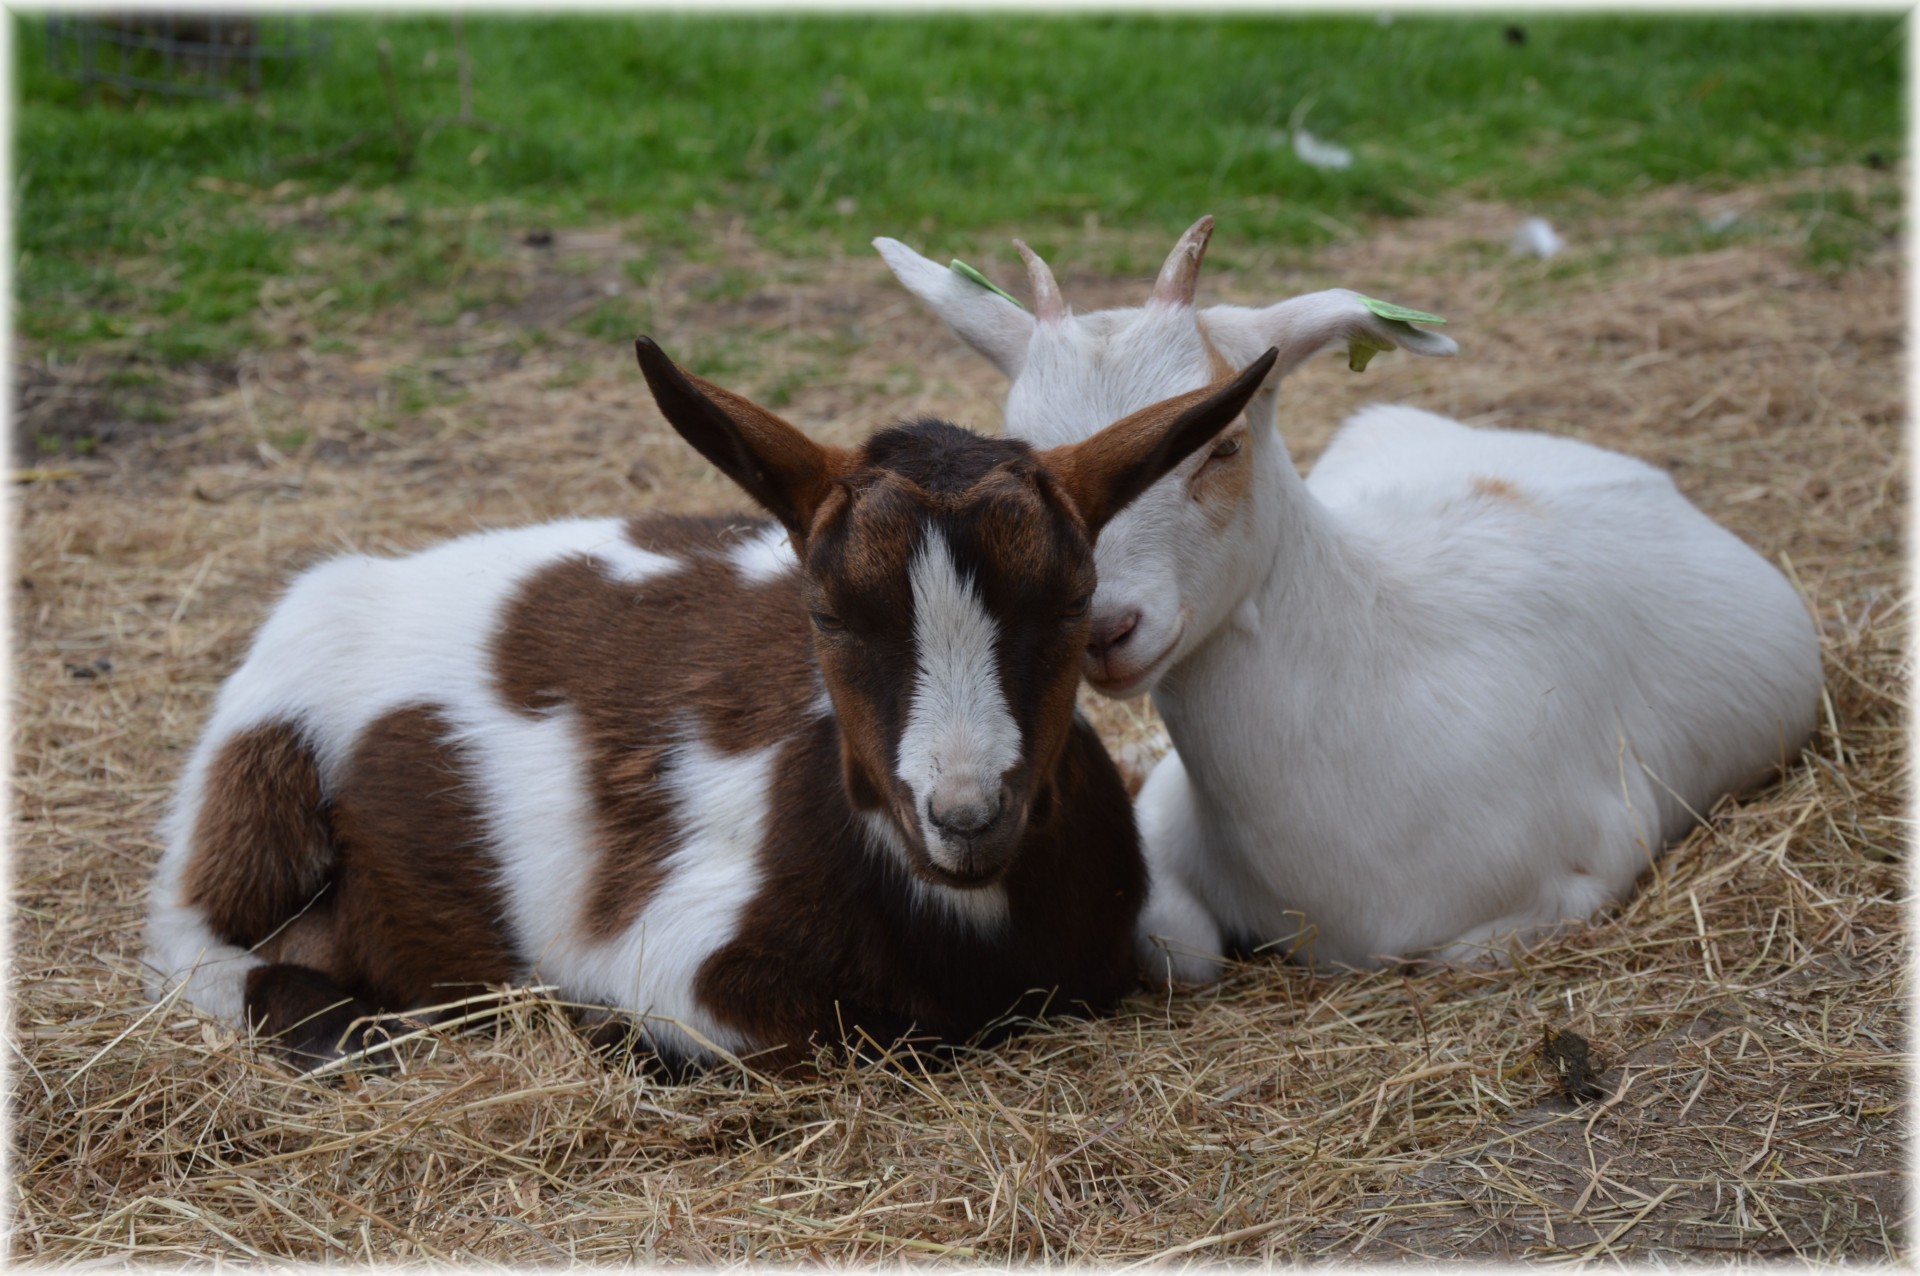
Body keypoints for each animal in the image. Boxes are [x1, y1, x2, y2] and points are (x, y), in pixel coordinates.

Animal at [145, 335, 1274, 1066]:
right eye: (826, 610)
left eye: (1074, 598)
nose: (965, 815)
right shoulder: (672, 955)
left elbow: (1188, 948)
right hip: (261, 758)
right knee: (190, 936)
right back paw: (345, 1025)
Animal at [879, 216, 1820, 974]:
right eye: (1025, 460)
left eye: (1223, 444)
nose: (1107, 629)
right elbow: (1182, 951)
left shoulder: (1581, 868)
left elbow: (1450, 955)